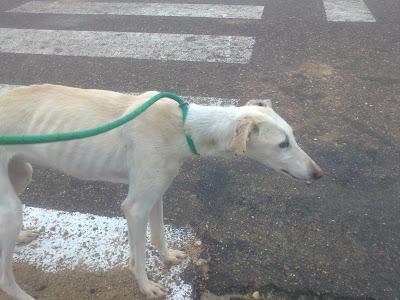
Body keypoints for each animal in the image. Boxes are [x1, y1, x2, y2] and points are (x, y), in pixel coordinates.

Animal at [0, 85, 322, 300]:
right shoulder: (135, 206)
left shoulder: (156, 191)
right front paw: (146, 286)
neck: (183, 127)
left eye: (293, 136)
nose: (318, 174)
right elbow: (139, 256)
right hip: (11, 208)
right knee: (4, 278)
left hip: (20, 173)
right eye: (282, 144)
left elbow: (158, 234)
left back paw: (23, 236)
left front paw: (168, 258)